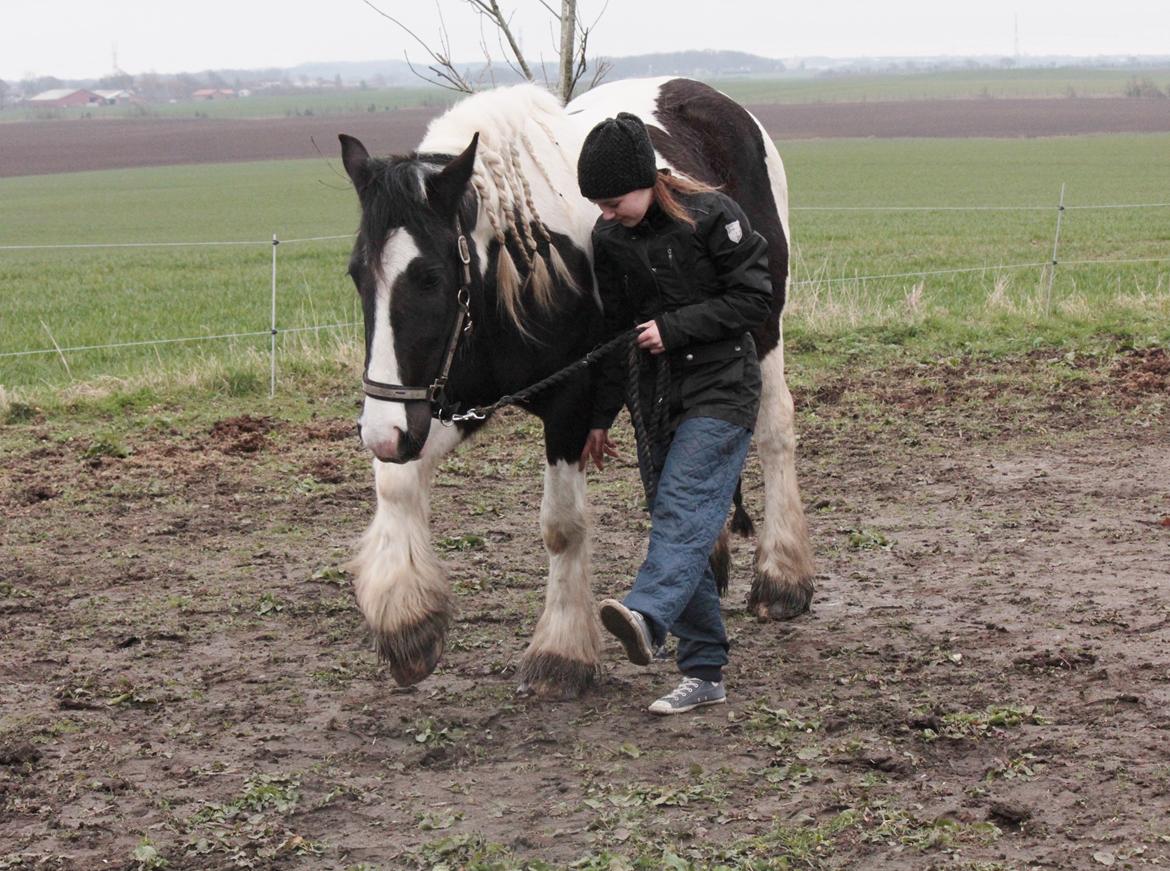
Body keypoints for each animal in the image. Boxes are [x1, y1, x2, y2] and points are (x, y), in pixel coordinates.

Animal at [339, 76, 814, 702]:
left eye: (431, 277)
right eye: (357, 274)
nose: (380, 433)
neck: (517, 262)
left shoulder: (571, 401)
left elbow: (561, 527)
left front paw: (560, 653)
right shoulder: (443, 397)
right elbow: (396, 484)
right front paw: (407, 623)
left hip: (762, 326)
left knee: (775, 431)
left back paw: (783, 578)